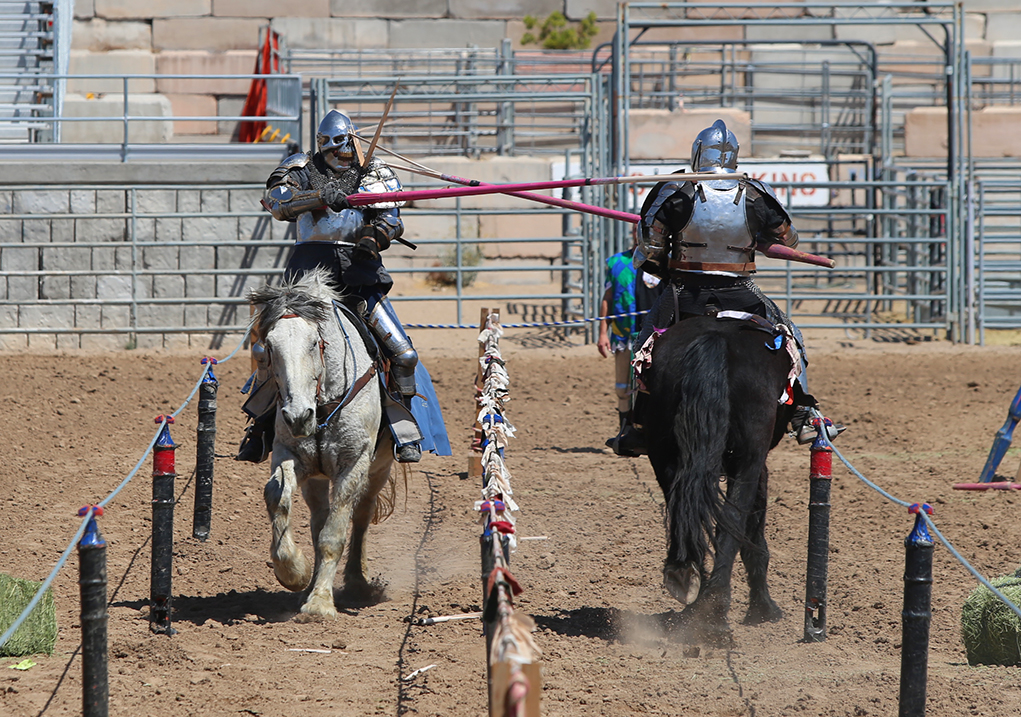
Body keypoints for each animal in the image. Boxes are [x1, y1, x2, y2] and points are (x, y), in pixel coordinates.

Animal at [251, 267, 398, 616]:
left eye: (314, 343)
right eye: (269, 347)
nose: (297, 416)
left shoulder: (354, 463)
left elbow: (334, 534)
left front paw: (319, 604)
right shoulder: (291, 455)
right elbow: (277, 497)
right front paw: (294, 571)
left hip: (379, 468)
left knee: (360, 516)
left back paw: (357, 582)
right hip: (316, 478)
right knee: (319, 519)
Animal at [645, 316, 796, 641]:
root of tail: (715, 338)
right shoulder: (759, 464)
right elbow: (753, 534)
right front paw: (763, 609)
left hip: (664, 456)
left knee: (685, 509)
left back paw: (687, 586)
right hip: (748, 458)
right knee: (732, 520)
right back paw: (714, 612)